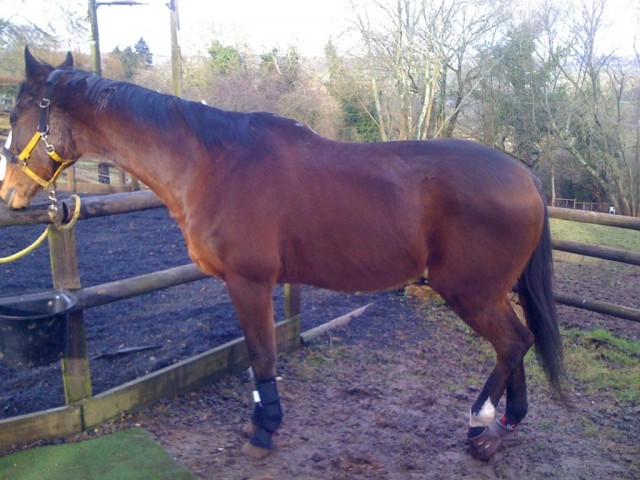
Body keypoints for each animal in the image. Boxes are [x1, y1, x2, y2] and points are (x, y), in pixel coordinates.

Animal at [0, 48, 564, 461]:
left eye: (18, 111)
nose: (10, 192)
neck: (215, 164)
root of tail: (525, 176)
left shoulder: (248, 281)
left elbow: (261, 355)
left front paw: (264, 429)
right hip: (490, 292)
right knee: (518, 343)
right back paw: (504, 424)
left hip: (470, 292)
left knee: (512, 343)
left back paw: (480, 425)